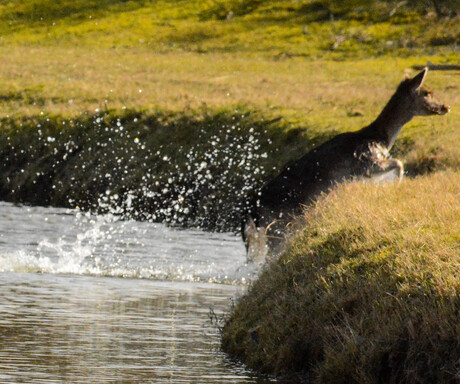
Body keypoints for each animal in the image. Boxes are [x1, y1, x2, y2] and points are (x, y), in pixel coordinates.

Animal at [243, 67, 452, 262]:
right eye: (427, 92)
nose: (446, 106)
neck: (381, 139)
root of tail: (252, 211)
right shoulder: (366, 163)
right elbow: (398, 162)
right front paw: (395, 185)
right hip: (278, 227)